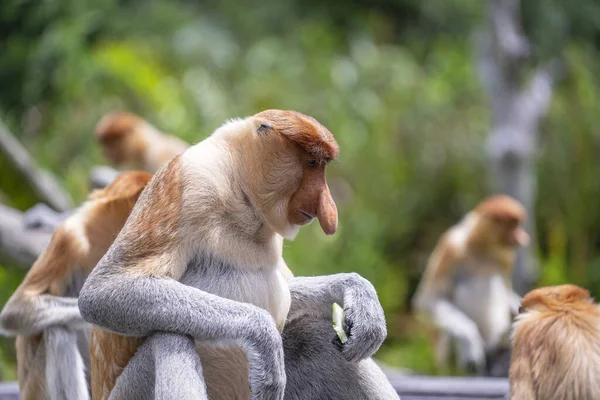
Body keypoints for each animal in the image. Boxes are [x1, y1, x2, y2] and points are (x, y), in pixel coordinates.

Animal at [79, 109, 398, 400]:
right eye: (311, 163)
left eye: (322, 166)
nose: (327, 208)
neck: (240, 191)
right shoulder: (187, 183)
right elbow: (103, 292)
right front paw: (264, 339)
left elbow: (289, 292)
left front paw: (359, 296)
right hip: (131, 391)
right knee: (170, 336)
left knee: (312, 333)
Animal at [412, 195, 528, 376]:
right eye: (512, 226)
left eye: (518, 225)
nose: (522, 237)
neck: (480, 246)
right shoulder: (451, 247)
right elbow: (428, 300)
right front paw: (470, 344)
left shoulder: (507, 259)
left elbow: (507, 292)